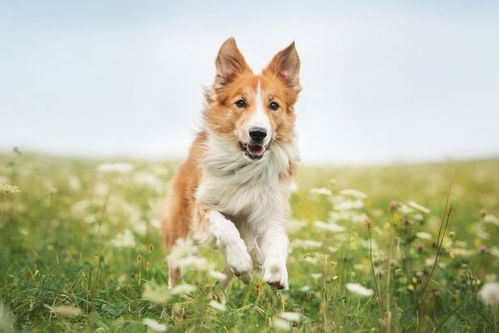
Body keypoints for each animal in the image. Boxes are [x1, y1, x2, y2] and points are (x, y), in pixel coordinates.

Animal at [161, 37, 300, 288]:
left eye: (274, 105)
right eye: (241, 102)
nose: (258, 133)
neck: (246, 166)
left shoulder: (270, 212)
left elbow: (278, 240)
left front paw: (276, 272)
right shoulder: (202, 206)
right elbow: (226, 227)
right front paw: (241, 260)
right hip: (180, 235)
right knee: (175, 270)